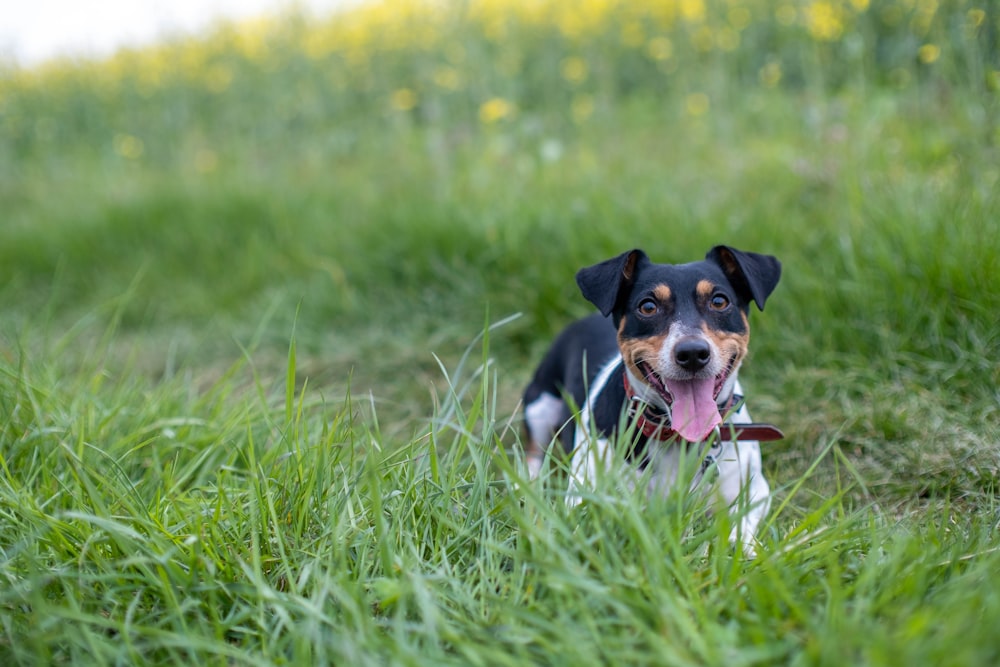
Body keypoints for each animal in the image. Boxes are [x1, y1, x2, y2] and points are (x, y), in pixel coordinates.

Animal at [524, 245, 780, 552]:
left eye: (719, 301)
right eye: (647, 307)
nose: (692, 353)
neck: (678, 439)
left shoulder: (756, 489)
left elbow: (743, 520)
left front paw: (740, 546)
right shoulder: (583, 493)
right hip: (539, 405)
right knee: (532, 453)